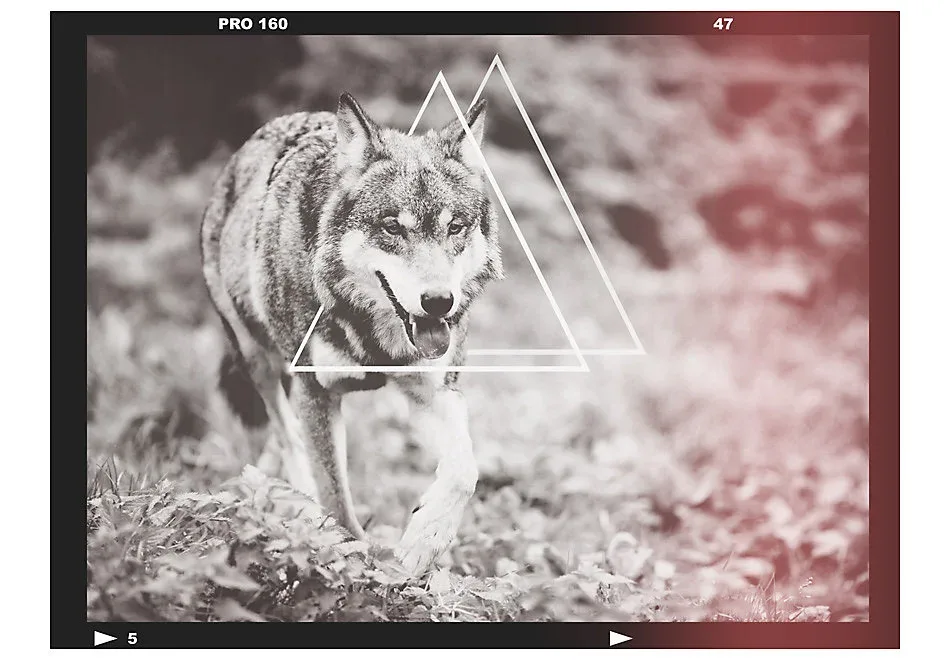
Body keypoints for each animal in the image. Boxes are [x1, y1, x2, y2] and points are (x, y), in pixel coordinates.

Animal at [200, 92, 503, 575]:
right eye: (392, 227)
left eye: (454, 227)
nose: (439, 301)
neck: (371, 334)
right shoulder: (316, 391)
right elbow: (336, 499)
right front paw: (348, 559)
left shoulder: (431, 390)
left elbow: (464, 470)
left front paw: (424, 541)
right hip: (256, 358)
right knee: (287, 434)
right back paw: (297, 504)